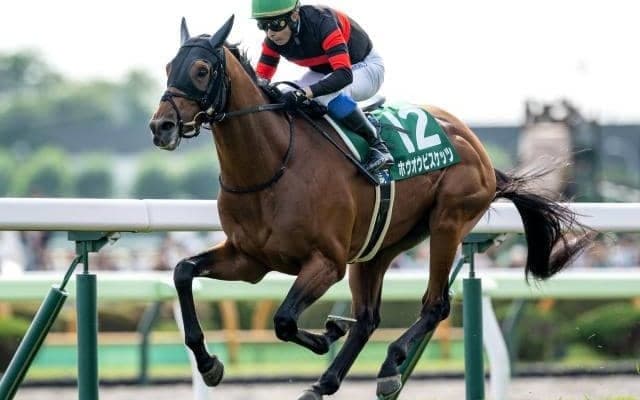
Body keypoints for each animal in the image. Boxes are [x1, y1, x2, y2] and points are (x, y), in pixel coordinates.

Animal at [148, 15, 592, 400]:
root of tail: (475, 145)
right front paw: (209, 364)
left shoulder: (326, 262)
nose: (161, 127)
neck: (273, 165)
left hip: (448, 222)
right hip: (378, 246)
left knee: (435, 305)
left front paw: (326, 333)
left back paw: (389, 367)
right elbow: (183, 271)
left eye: (201, 70)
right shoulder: (250, 260)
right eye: (169, 66)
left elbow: (285, 320)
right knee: (367, 319)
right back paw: (325, 383)